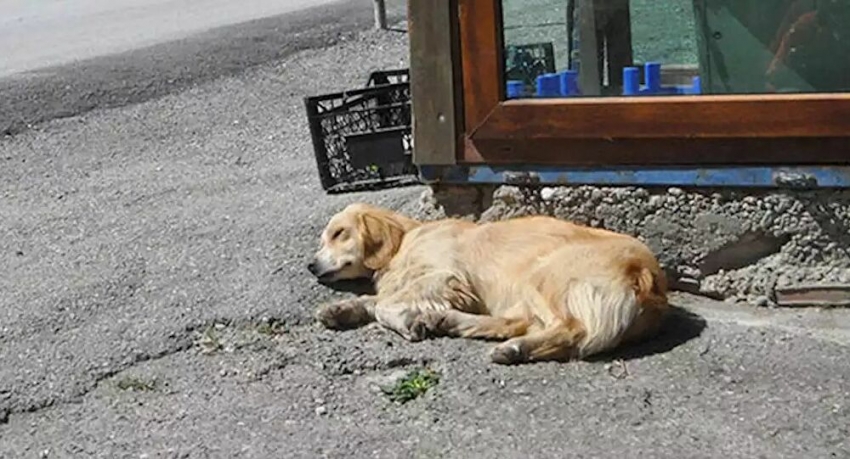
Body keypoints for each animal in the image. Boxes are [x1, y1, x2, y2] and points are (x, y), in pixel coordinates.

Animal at [306, 203, 668, 364]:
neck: (407, 239)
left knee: (569, 330)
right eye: (322, 239)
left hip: (543, 275)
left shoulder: (446, 276)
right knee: (515, 323)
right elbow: (374, 300)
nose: (310, 265)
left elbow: (383, 304)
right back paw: (447, 320)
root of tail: (648, 277)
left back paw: (516, 349)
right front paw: (340, 309)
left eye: (339, 233)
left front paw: (407, 321)